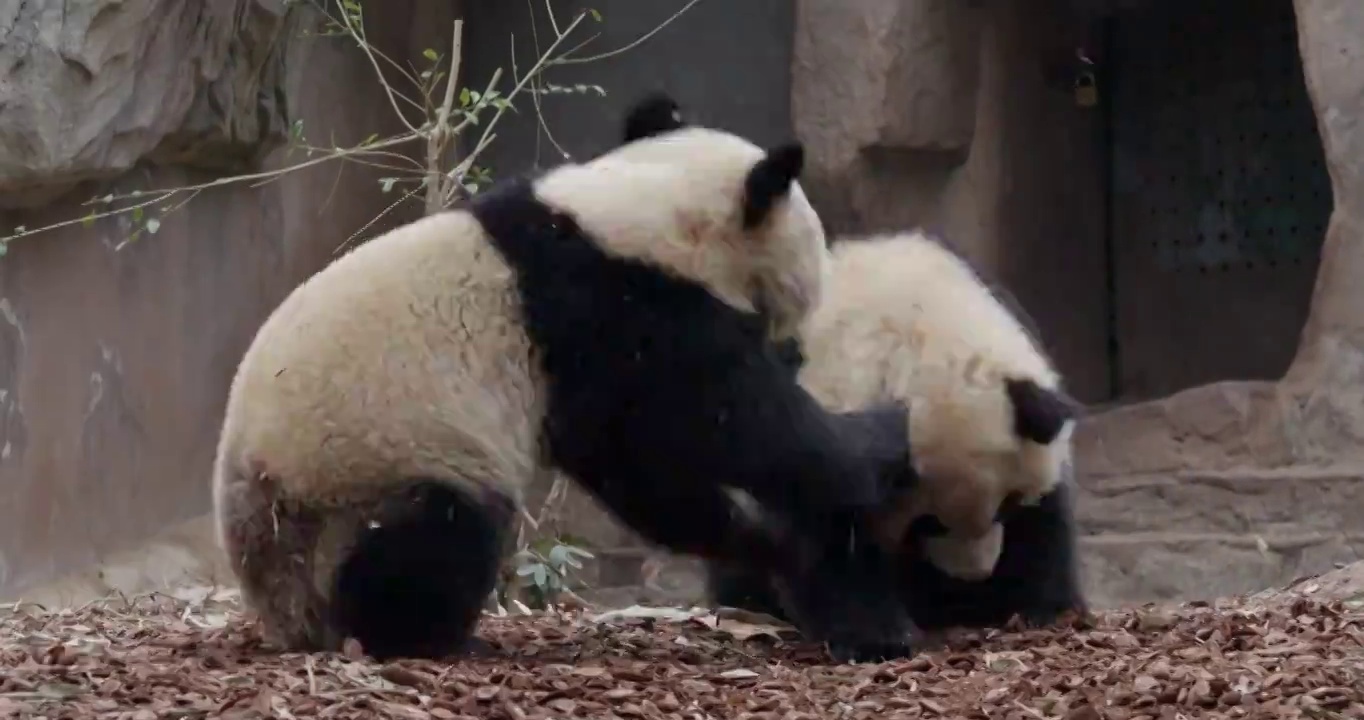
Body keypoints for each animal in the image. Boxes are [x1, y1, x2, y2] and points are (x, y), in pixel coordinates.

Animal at [210, 94, 916, 662]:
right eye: (814, 262)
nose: (798, 345)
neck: (638, 211)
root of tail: (279, 603)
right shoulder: (617, 310)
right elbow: (727, 423)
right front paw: (878, 442)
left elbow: (638, 469)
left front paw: (761, 539)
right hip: (366, 476)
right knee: (438, 534)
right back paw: (434, 638)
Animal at [709, 229, 1091, 630]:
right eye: (926, 524)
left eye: (1007, 504)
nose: (975, 575)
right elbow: (826, 537)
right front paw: (880, 634)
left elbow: (1045, 518)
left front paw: (1046, 608)